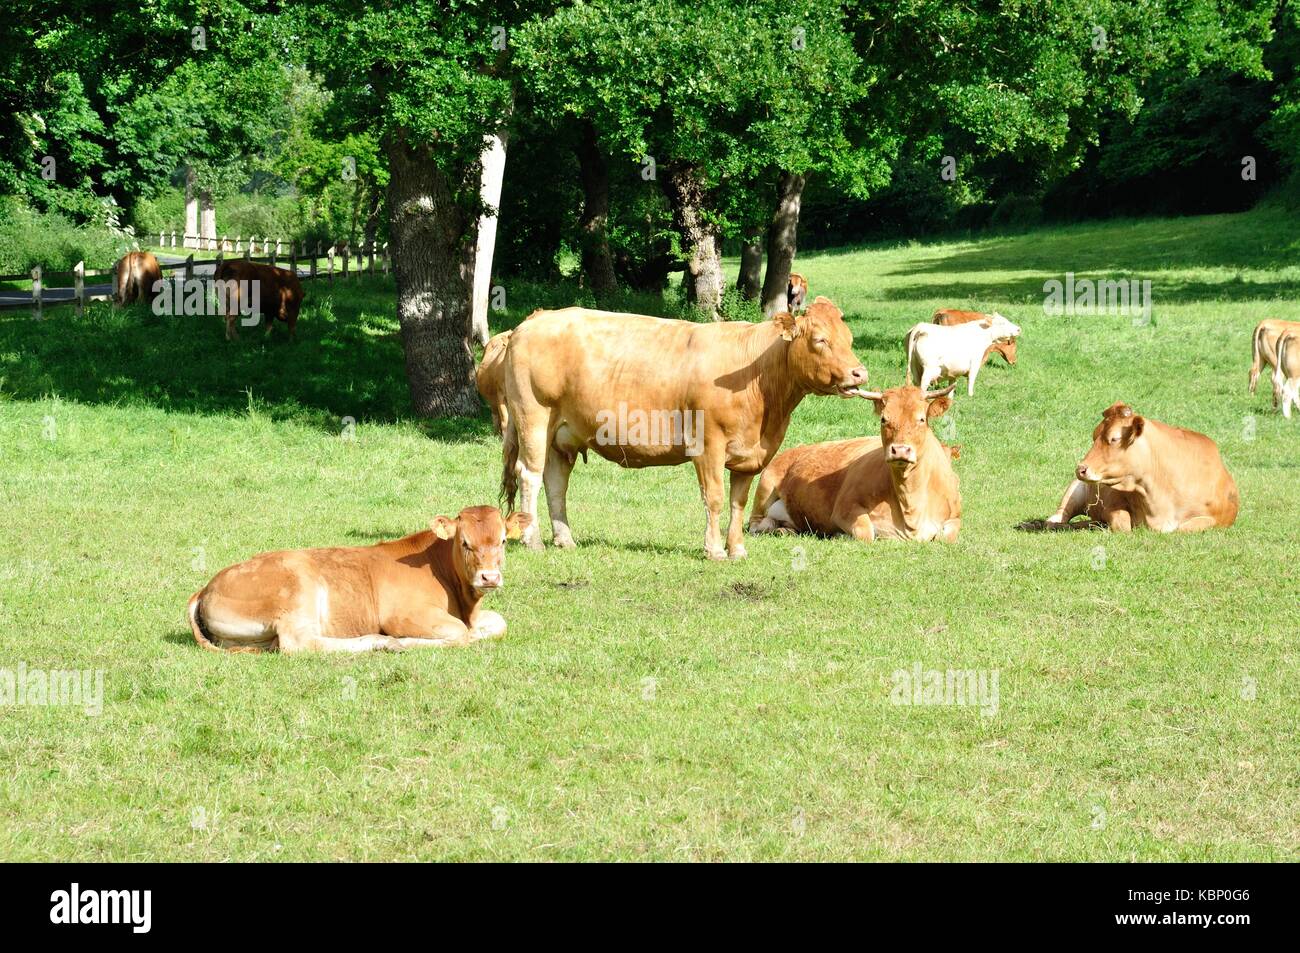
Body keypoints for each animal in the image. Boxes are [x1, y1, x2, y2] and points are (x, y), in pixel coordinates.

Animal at [187, 506, 532, 654]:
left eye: (503, 541)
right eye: (464, 542)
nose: (489, 577)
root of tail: (206, 587)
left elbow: (498, 623)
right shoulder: (403, 615)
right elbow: (460, 633)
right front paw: (403, 642)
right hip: (298, 592)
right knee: (299, 644)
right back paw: (379, 641)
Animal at [501, 296, 869, 560]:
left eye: (849, 338)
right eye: (820, 340)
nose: (860, 373)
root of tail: (536, 318)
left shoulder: (750, 455)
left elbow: (738, 502)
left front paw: (737, 549)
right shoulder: (708, 444)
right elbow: (715, 498)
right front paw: (715, 550)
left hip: (561, 433)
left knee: (555, 482)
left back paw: (564, 539)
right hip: (534, 418)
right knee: (529, 475)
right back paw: (534, 540)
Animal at [749, 385, 961, 542]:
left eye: (921, 419)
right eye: (884, 419)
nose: (900, 450)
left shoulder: (955, 517)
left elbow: (946, 537)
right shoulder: (844, 508)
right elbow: (866, 532)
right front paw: (840, 535)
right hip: (765, 486)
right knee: (757, 524)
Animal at [1026, 402, 1238, 533]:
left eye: (1114, 438)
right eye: (1094, 435)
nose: (1081, 469)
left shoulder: (1220, 516)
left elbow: (1185, 527)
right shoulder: (1113, 501)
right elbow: (1122, 524)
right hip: (1076, 489)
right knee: (1060, 515)